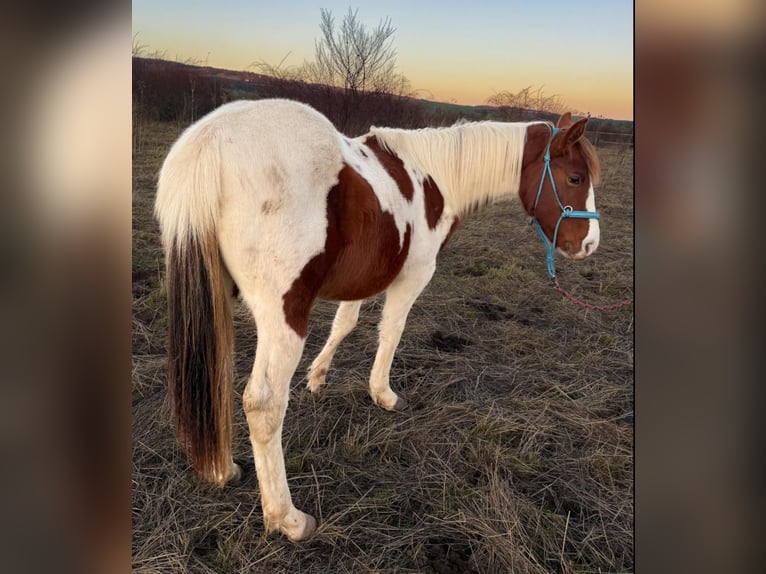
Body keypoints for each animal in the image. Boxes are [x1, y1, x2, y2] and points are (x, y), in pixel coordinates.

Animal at [154, 98, 601, 541]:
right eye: (575, 177)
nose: (590, 245)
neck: (435, 178)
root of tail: (209, 145)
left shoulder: (364, 279)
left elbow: (345, 324)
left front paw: (318, 377)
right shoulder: (411, 277)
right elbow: (391, 332)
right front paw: (383, 394)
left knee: (211, 376)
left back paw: (221, 469)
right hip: (284, 316)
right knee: (263, 404)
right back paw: (287, 518)